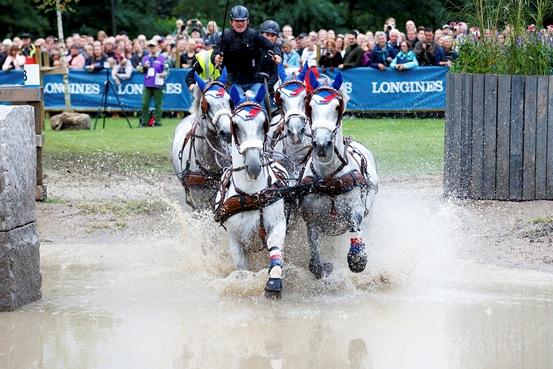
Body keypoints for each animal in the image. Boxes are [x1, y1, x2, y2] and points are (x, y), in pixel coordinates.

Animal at [213, 85, 286, 298]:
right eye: (235, 125)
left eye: (264, 123)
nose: (253, 166)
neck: (253, 195)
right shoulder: (235, 240)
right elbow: (241, 269)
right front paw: (244, 283)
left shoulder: (278, 224)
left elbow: (275, 250)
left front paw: (273, 283)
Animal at [300, 71, 378, 278]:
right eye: (310, 107)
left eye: (337, 107)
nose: (322, 145)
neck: (329, 180)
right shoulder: (311, 220)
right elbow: (315, 263)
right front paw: (323, 267)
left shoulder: (355, 209)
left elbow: (355, 226)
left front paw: (357, 258)